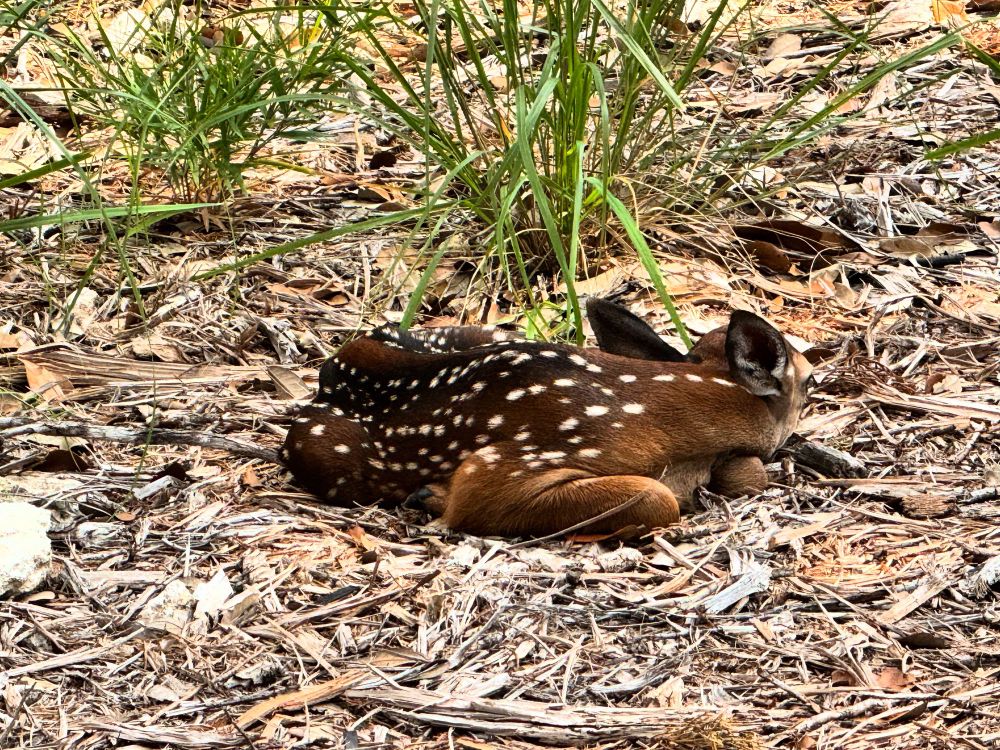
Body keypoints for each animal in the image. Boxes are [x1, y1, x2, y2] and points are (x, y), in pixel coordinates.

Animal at [281, 298, 813, 537]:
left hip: (472, 331)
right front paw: (434, 498)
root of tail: (334, 367)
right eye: (809, 382)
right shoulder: (507, 466)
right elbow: (659, 497)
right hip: (320, 447)